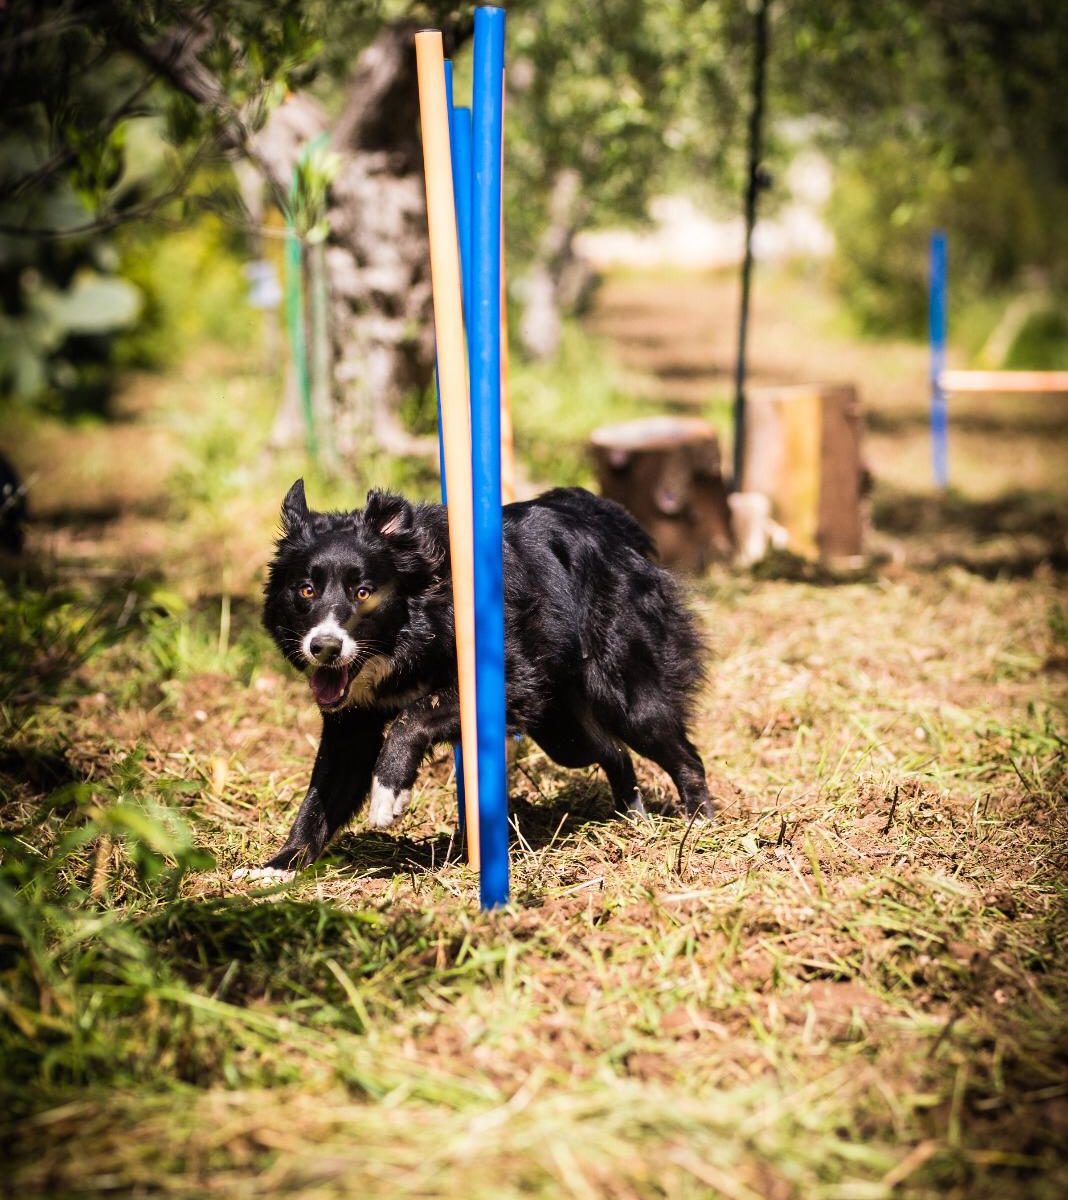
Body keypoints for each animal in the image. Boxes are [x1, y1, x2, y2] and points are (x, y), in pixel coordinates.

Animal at [233, 480, 712, 881]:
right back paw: (634, 821)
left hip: (622, 687)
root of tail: (607, 520)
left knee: (678, 751)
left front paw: (389, 795)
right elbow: (321, 794)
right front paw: (277, 868)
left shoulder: (509, 675)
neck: (412, 631)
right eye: (306, 590)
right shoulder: (351, 720)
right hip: (562, 732)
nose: (325, 648)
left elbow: (412, 716)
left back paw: (699, 824)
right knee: (614, 753)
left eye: (363, 592)